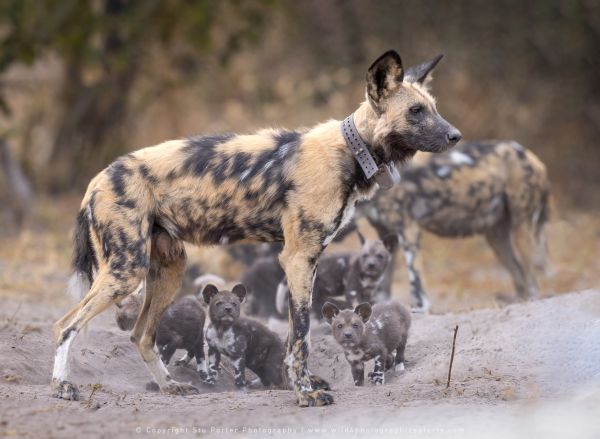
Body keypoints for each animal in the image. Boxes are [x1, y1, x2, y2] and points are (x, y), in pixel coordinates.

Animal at [54, 49, 462, 408]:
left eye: (435, 108)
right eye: (415, 112)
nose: (455, 135)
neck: (352, 149)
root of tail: (98, 179)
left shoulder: (305, 263)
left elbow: (293, 338)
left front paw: (298, 385)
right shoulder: (298, 258)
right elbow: (301, 338)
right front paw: (305, 395)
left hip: (167, 271)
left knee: (141, 335)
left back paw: (169, 387)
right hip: (125, 272)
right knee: (65, 324)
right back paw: (62, 386)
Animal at [358, 140, 552, 310]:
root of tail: (534, 158)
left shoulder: (408, 231)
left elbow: (416, 284)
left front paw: (419, 310)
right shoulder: (385, 234)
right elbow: (383, 288)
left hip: (522, 228)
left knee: (532, 282)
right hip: (497, 238)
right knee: (520, 278)